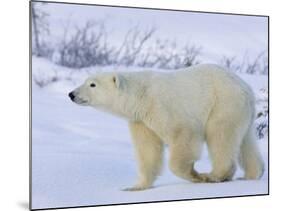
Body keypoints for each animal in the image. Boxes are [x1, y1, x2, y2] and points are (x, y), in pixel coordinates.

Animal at [68, 63, 262, 190]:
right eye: (86, 81)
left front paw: (194, 175)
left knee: (221, 136)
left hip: (223, 104)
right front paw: (135, 186)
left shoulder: (161, 106)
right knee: (245, 142)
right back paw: (253, 174)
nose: (71, 94)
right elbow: (148, 150)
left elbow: (184, 133)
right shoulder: (141, 120)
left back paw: (214, 175)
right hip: (241, 112)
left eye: (92, 84)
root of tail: (246, 87)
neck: (140, 96)